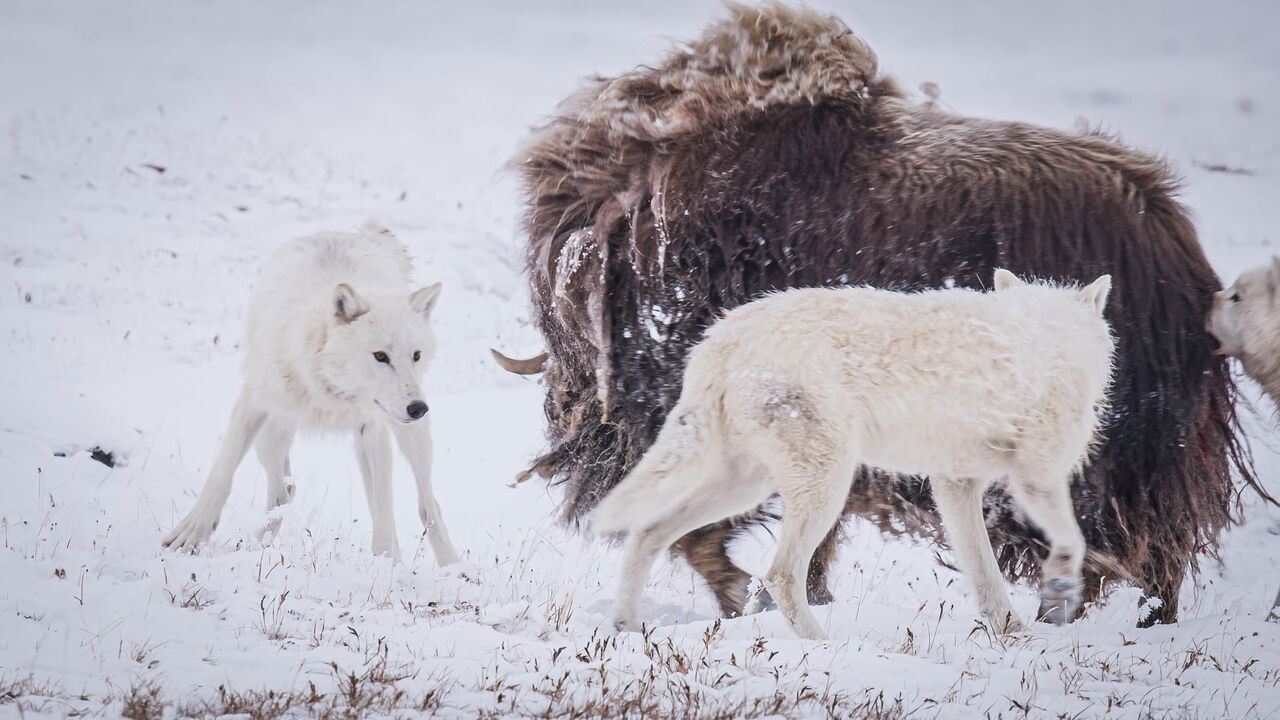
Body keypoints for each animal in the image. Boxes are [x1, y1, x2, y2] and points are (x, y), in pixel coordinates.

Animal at [161, 220, 460, 566]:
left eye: (416, 355)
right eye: (380, 356)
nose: (418, 408)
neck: (327, 388)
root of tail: (359, 233)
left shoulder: (372, 427)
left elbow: (385, 506)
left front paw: (387, 563)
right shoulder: (252, 401)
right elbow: (222, 470)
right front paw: (192, 532)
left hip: (408, 438)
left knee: (428, 504)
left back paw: (453, 566)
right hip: (272, 436)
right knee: (284, 491)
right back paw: (254, 547)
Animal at [593, 270, 1116, 638]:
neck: (1056, 337)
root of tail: (719, 340)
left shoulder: (956, 484)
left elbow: (985, 575)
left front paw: (1012, 635)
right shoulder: (1037, 478)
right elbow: (1073, 542)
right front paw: (1059, 593)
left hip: (742, 488)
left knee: (647, 533)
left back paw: (627, 627)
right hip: (824, 487)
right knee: (780, 576)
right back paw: (824, 646)